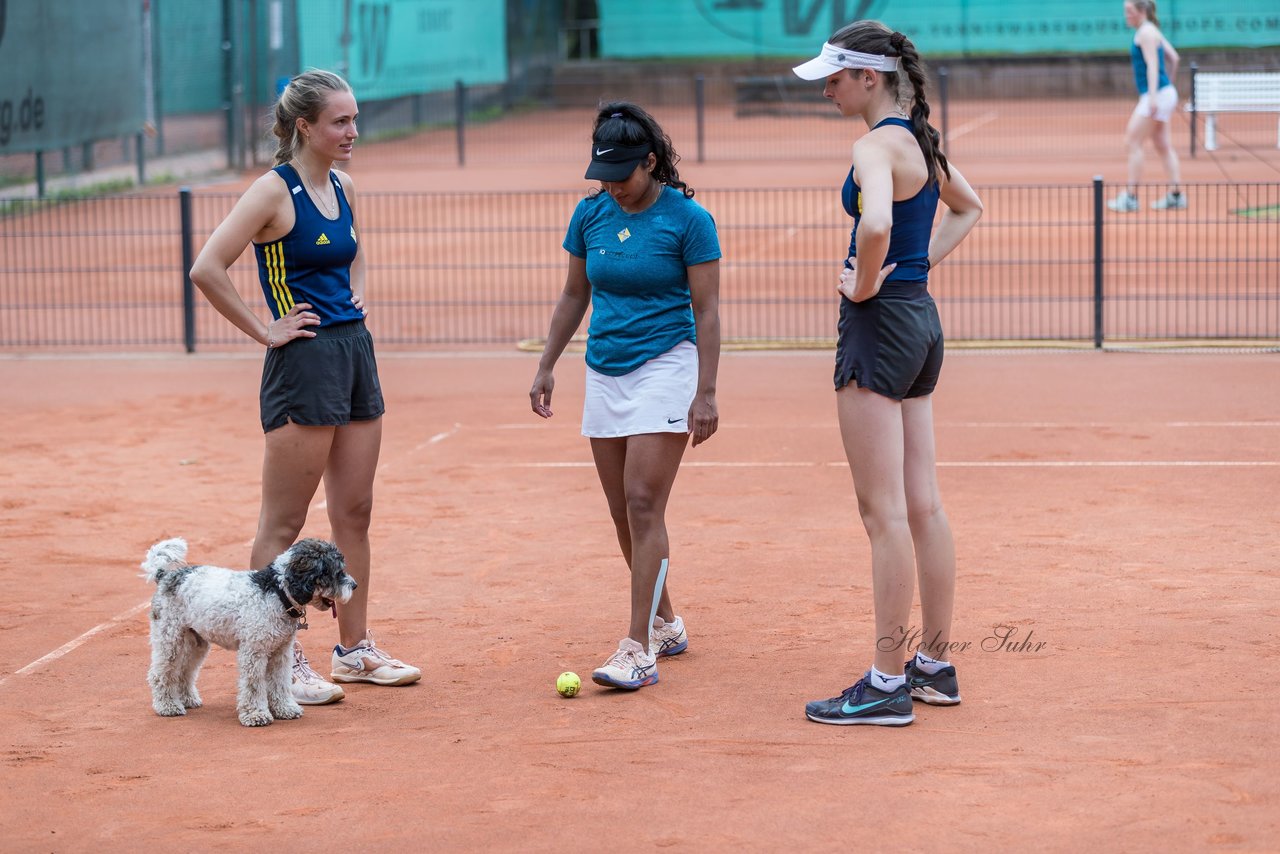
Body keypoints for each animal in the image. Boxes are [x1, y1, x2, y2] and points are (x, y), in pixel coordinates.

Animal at [141, 540, 355, 727]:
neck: (276, 593)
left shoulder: (281, 653)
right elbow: (254, 686)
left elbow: (280, 683)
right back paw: (167, 706)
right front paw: (256, 715)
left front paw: (285, 708)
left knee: (185, 671)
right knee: (160, 674)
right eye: (336, 572)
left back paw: (187, 699)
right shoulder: (254, 652)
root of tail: (165, 575)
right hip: (169, 639)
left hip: (196, 642)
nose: (355, 585)